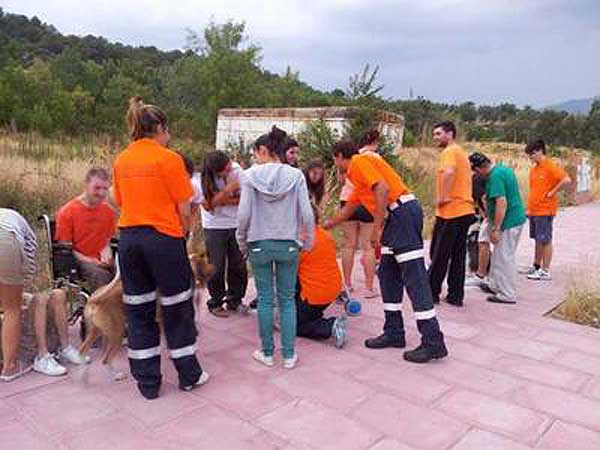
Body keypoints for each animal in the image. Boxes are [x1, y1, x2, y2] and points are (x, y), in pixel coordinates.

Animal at [79, 253, 214, 380]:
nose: (213, 267)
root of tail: (95, 299)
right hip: (116, 333)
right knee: (106, 359)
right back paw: (116, 375)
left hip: (96, 331)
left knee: (83, 349)